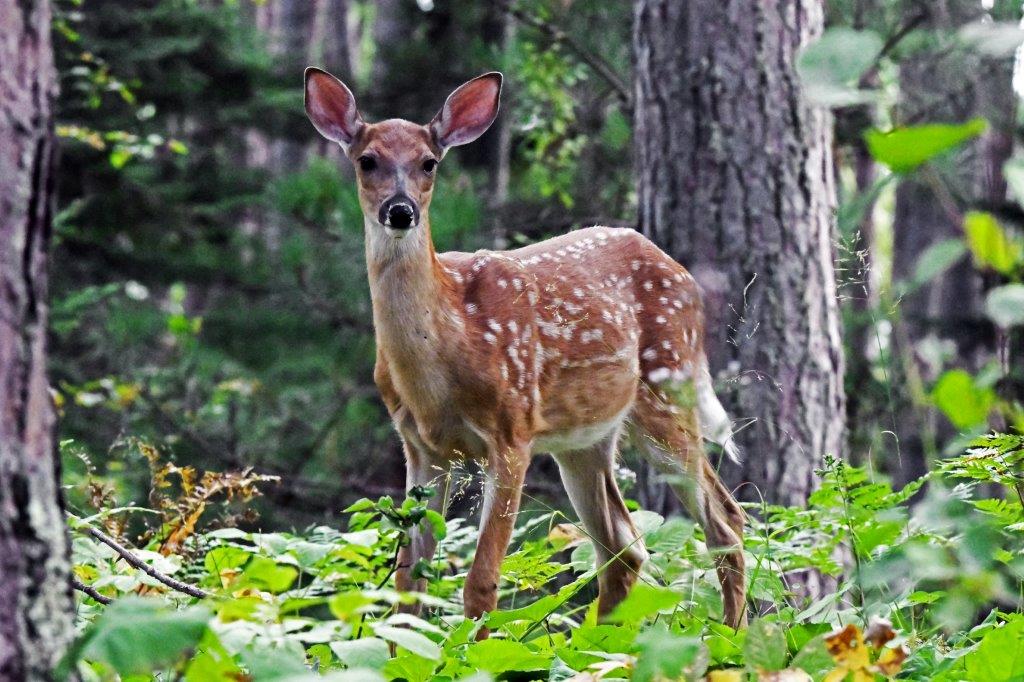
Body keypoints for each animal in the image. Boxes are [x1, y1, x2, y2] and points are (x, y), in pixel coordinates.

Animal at [303, 67, 748, 631]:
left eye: (429, 162)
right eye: (367, 160)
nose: (399, 211)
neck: (441, 362)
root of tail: (684, 276)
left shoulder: (512, 429)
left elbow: (480, 583)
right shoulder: (421, 447)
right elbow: (408, 585)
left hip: (668, 394)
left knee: (725, 522)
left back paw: (732, 638)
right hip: (584, 439)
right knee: (624, 547)